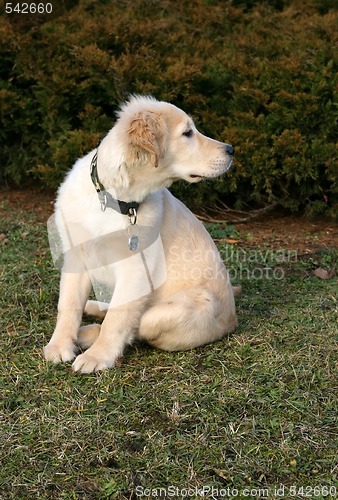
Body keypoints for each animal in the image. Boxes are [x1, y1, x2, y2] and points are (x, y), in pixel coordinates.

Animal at [44, 94, 238, 372]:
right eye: (187, 133)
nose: (231, 149)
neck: (114, 199)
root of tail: (233, 319)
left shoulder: (136, 268)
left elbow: (118, 318)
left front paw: (97, 356)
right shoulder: (76, 255)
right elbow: (68, 304)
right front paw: (59, 345)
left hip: (183, 309)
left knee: (139, 324)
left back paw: (87, 334)